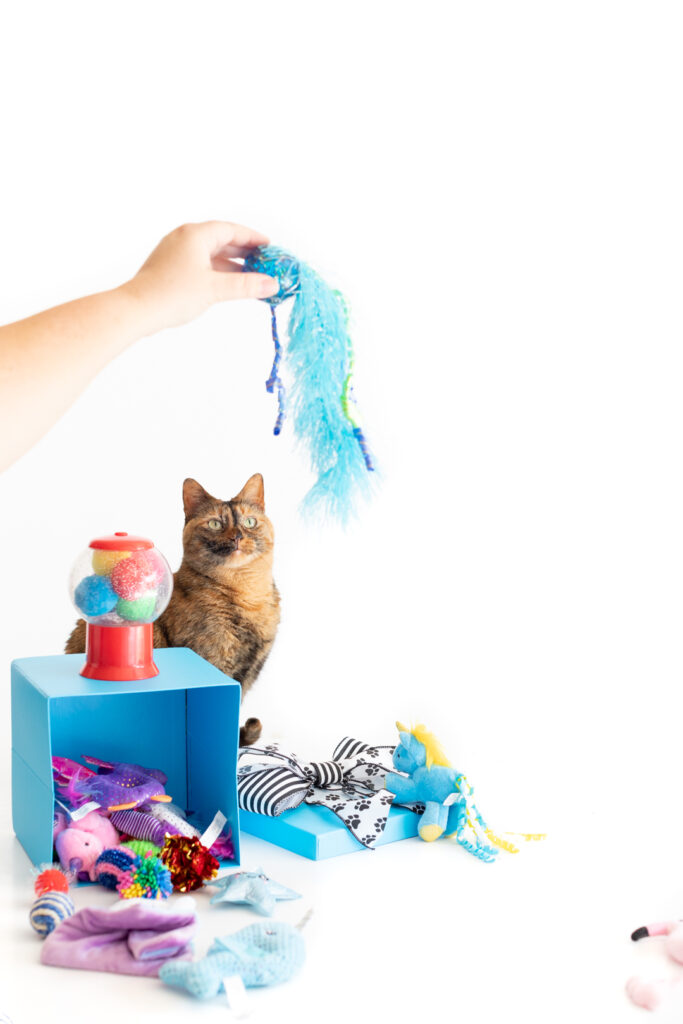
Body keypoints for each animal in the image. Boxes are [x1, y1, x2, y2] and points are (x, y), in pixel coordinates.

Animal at [63, 475, 278, 749]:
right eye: (215, 523)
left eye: (250, 522)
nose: (238, 537)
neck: (247, 593)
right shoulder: (214, 663)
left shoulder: (248, 672)